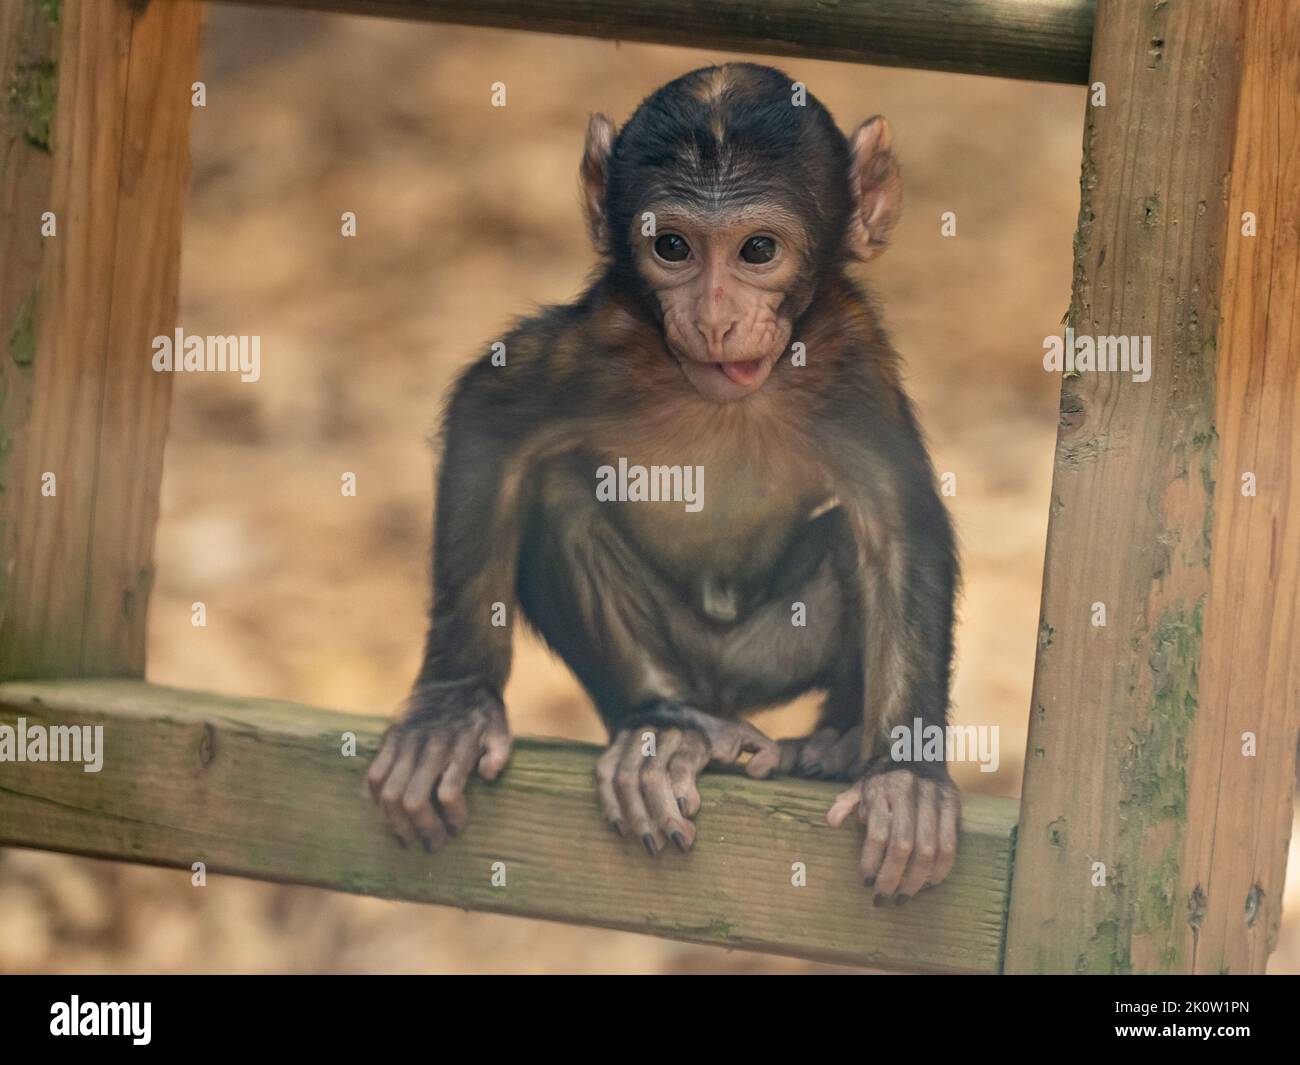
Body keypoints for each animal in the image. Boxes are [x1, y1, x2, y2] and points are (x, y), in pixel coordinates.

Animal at [368, 63, 960, 904]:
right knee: (556, 493)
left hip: (768, 651)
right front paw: (452, 707)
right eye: (672, 246)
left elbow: (895, 524)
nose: (713, 317)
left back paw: (840, 739)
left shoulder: (851, 354)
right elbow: (492, 418)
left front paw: (905, 778)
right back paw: (668, 726)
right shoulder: (603, 342)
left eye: (757, 249)